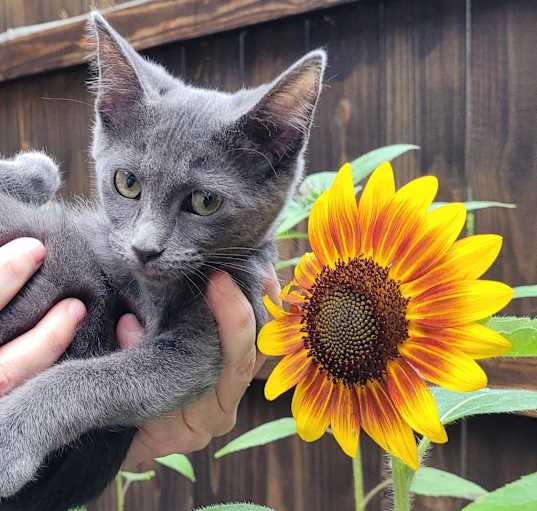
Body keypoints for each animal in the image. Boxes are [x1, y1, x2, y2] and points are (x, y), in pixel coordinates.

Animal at [0, 12, 324, 511]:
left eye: (206, 202)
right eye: (127, 183)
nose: (145, 248)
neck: (143, 285)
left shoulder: (200, 347)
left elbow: (91, 379)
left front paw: (10, 439)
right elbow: (45, 172)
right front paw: (32, 169)